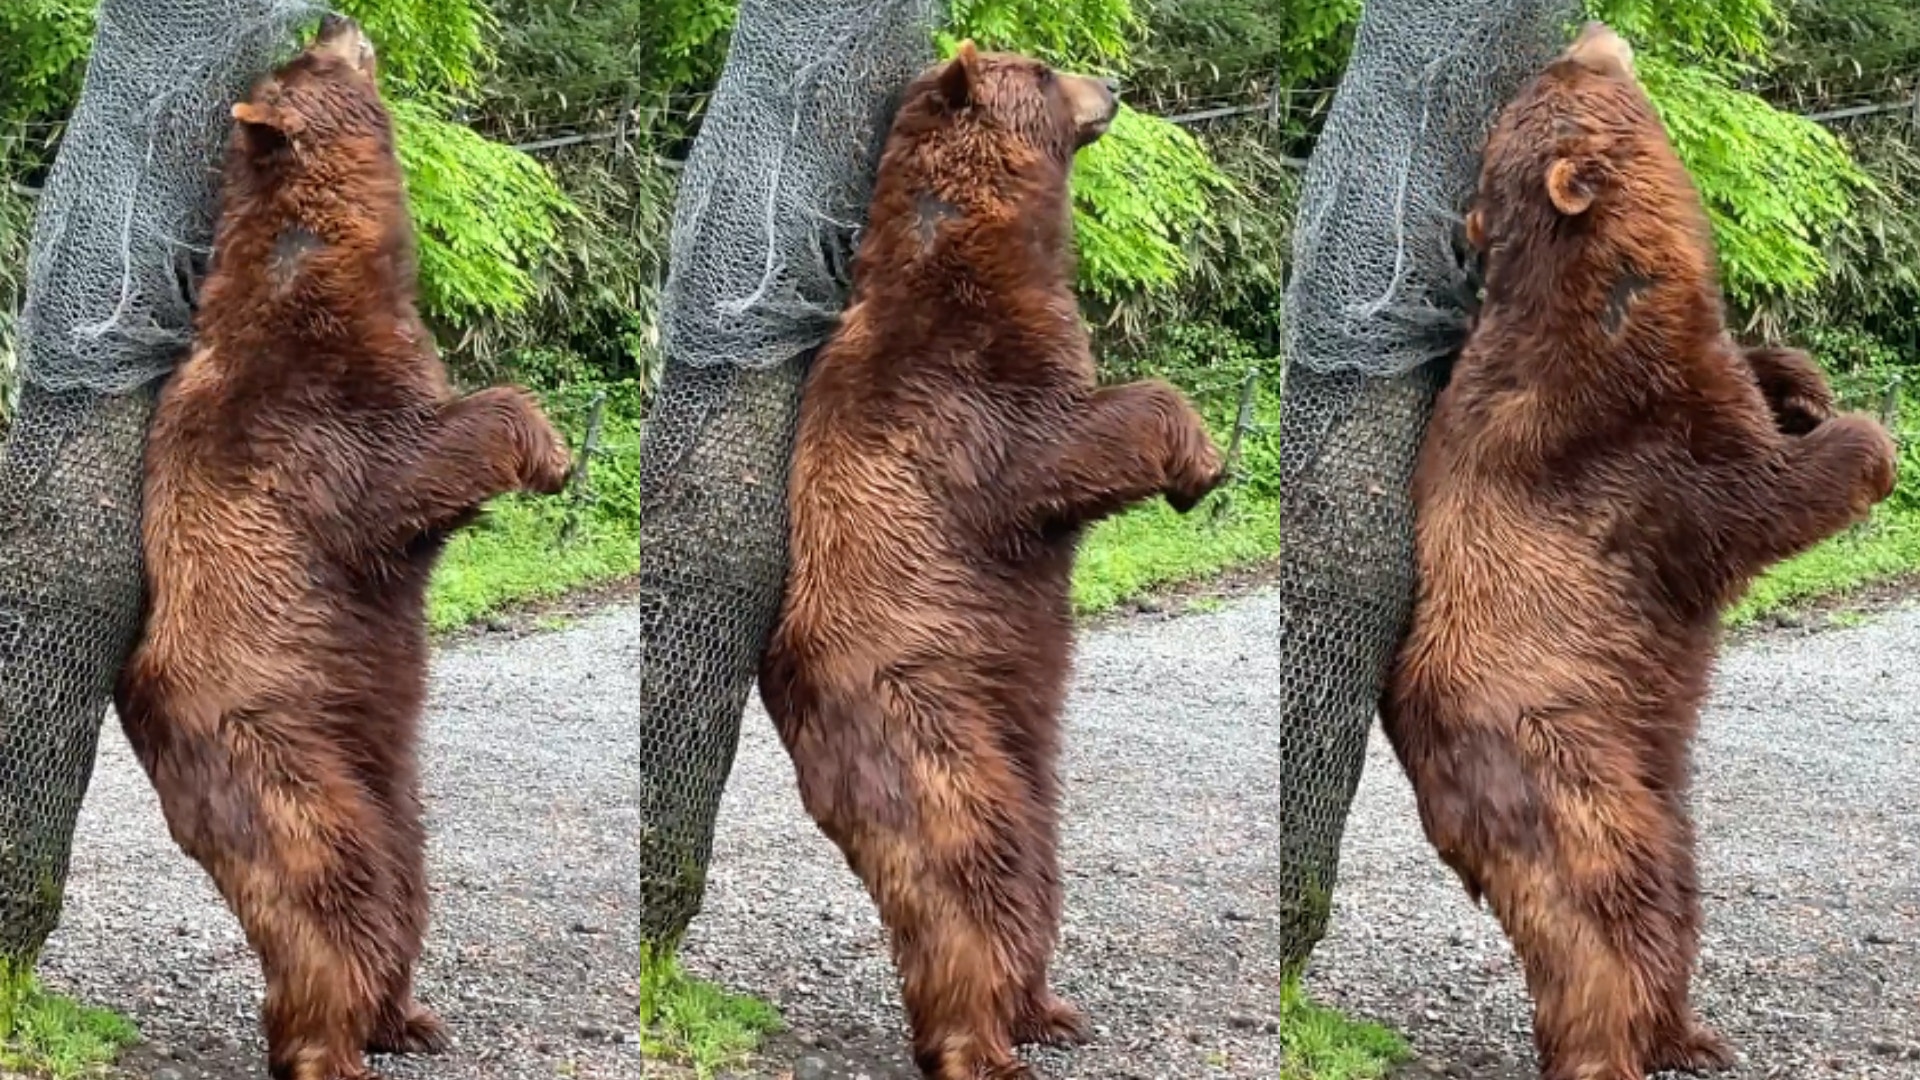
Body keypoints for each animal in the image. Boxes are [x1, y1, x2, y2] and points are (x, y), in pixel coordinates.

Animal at [112, 16, 572, 1080]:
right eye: (308, 64)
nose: (331, 19)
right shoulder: (305, 429)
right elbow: (403, 470)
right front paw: (551, 450)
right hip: (282, 768)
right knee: (336, 902)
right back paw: (331, 1042)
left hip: (389, 792)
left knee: (406, 893)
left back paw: (406, 1017)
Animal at [756, 41, 1226, 1080]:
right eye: (1048, 71)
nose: (1113, 87)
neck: (980, 252)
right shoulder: (957, 403)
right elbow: (1062, 443)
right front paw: (1199, 461)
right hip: (928, 727)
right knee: (969, 873)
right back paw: (981, 1042)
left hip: (1016, 753)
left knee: (1033, 876)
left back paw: (1046, 1009)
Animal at [1379, 21, 1898, 1080]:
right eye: (1552, 91)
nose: (1584, 35)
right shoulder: (1622, 448)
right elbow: (1754, 501)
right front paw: (1867, 440)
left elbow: (1760, 384)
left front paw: (1803, 382)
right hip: (1563, 767)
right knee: (1604, 914)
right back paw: (1615, 1045)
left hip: (1648, 791)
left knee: (1671, 897)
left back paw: (1689, 1035)